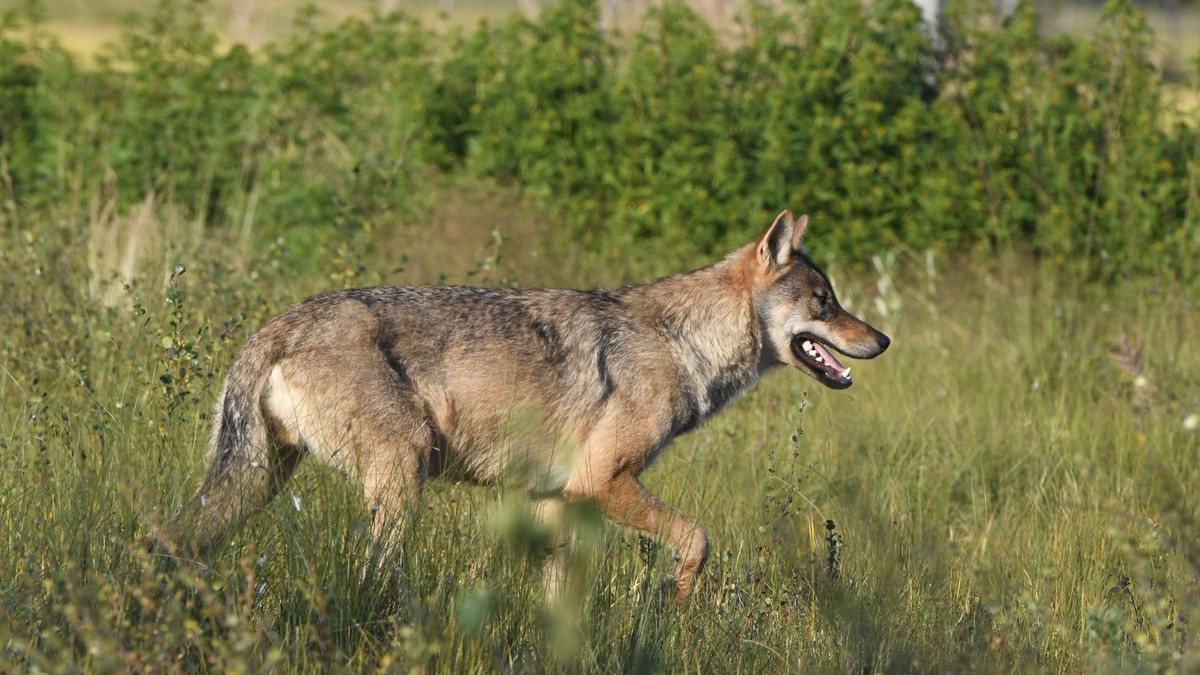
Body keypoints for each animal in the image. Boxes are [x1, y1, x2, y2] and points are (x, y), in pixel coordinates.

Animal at [159, 210, 890, 604]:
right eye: (825, 301)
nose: (882, 340)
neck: (682, 342)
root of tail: (276, 326)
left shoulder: (555, 500)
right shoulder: (602, 482)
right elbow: (699, 540)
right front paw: (675, 604)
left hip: (259, 481)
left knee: (172, 538)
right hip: (400, 474)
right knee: (373, 576)